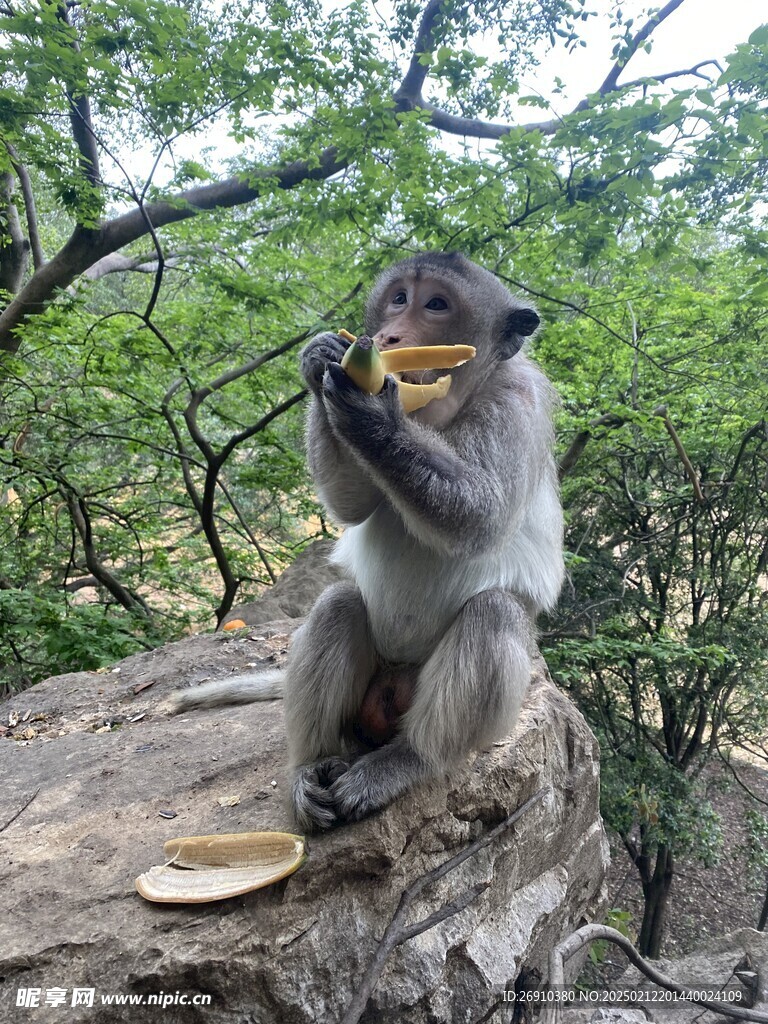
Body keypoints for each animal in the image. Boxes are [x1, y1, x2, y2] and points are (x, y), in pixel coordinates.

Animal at [177, 253, 569, 831]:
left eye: (436, 304)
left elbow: (482, 515)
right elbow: (352, 506)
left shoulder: (518, 398)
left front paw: (372, 416)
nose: (386, 335)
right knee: (338, 604)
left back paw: (408, 761)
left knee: (493, 613)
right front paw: (319, 361)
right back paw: (312, 767)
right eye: (399, 298)